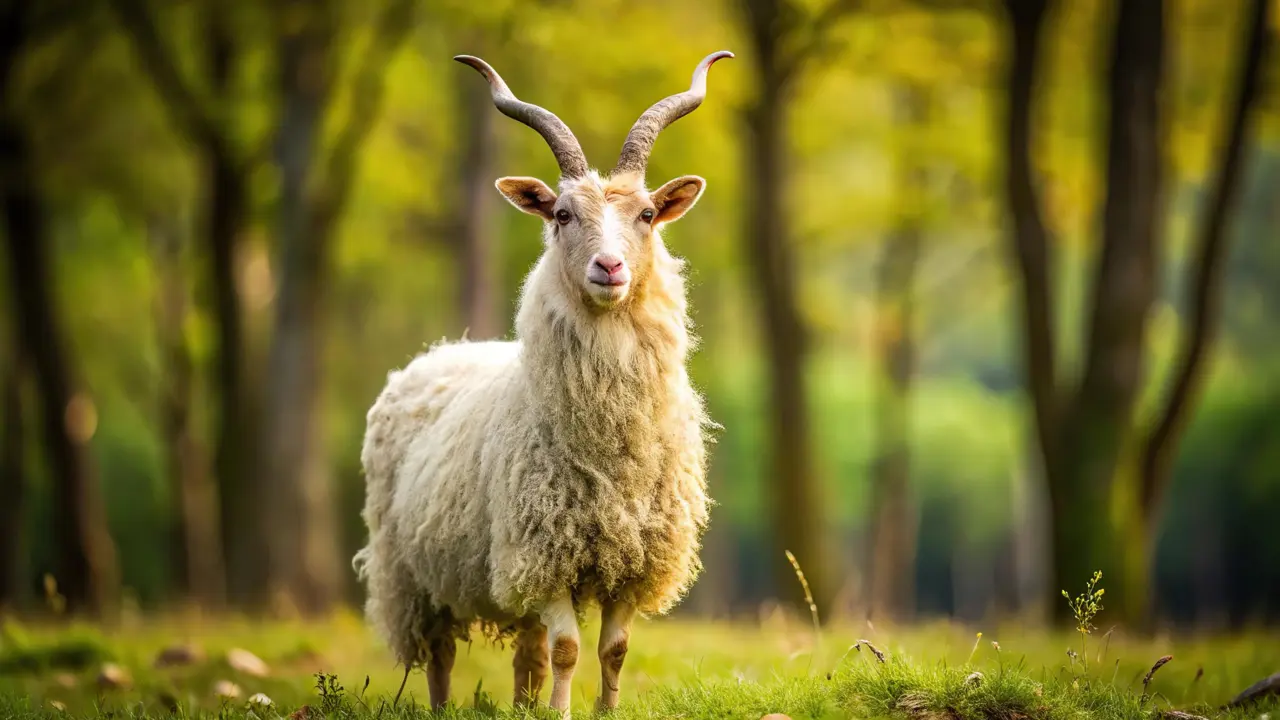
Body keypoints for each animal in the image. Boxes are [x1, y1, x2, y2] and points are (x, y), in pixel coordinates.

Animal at [352, 50, 733, 715]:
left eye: (648, 214)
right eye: (562, 215)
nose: (610, 267)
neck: (610, 452)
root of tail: (441, 352)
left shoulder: (632, 561)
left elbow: (613, 651)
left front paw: (605, 711)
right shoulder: (545, 554)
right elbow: (569, 650)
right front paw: (562, 712)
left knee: (526, 656)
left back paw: (526, 704)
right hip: (416, 578)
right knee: (441, 658)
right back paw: (449, 705)